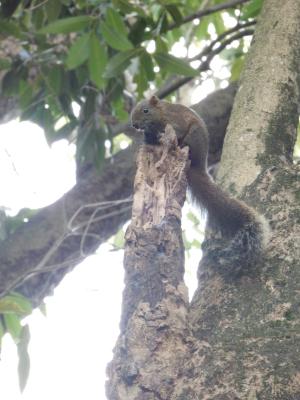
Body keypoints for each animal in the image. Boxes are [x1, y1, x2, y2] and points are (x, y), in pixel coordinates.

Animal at [131, 95, 270, 270]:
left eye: (145, 110)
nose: (134, 125)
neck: (160, 116)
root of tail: (198, 165)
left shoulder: (175, 121)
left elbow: (175, 131)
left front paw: (161, 136)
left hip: (193, 136)